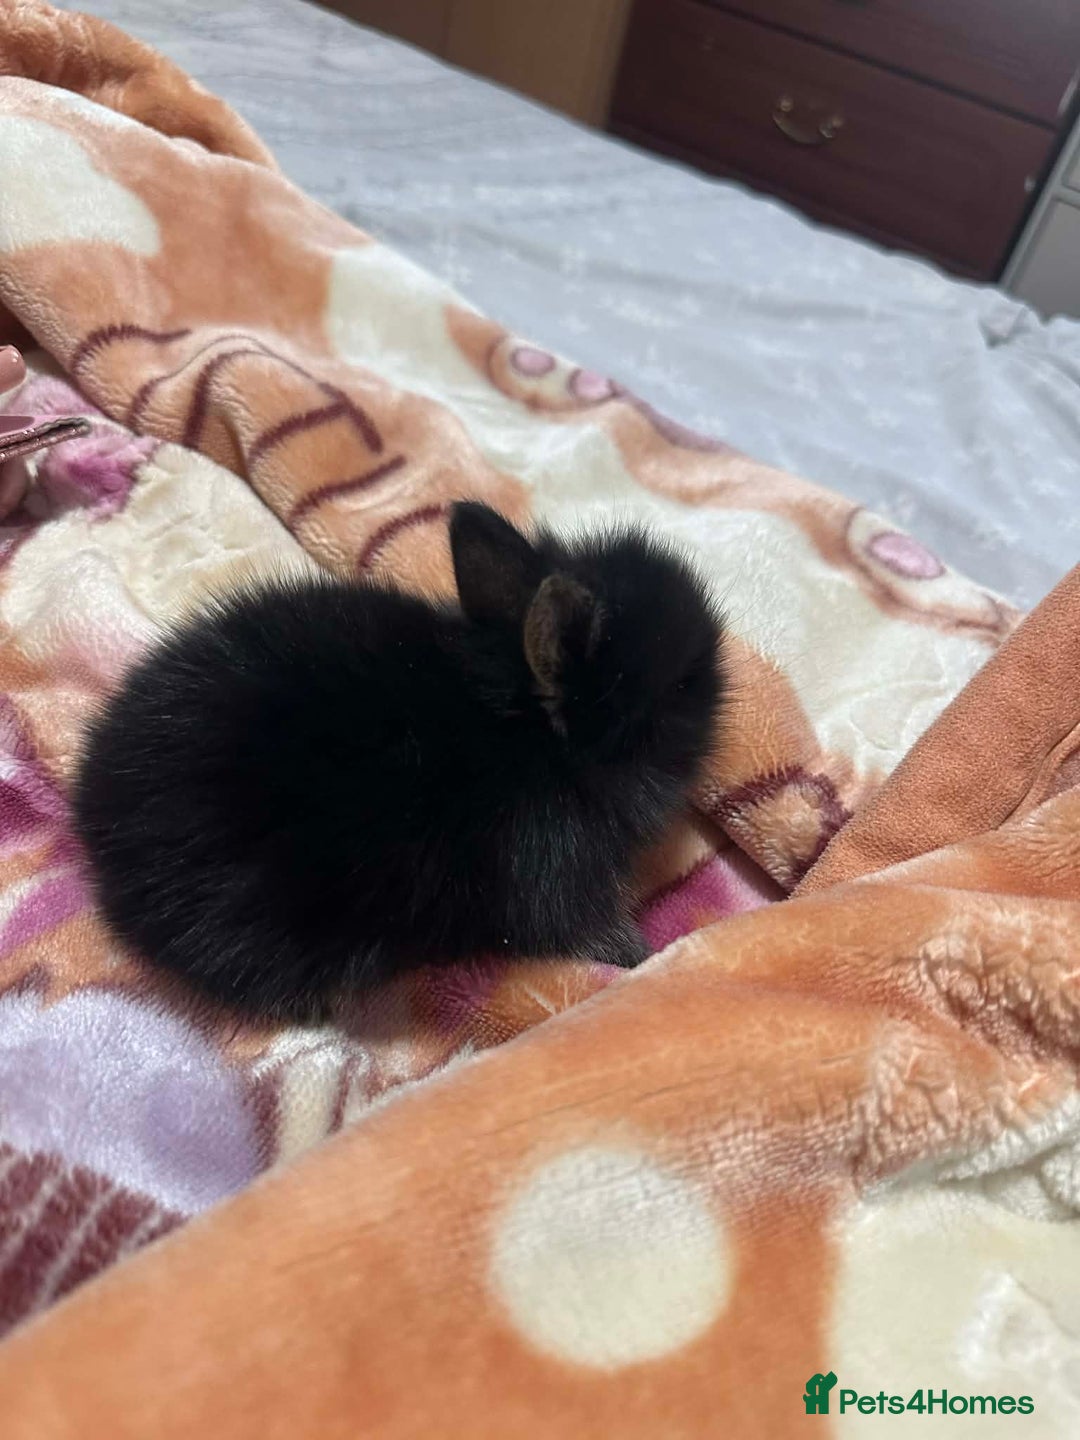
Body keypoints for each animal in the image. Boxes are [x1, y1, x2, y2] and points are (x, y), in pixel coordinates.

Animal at [72, 501, 725, 1020]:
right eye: (683, 683)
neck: (530, 733)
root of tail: (96, 824)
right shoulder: (560, 875)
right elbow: (598, 934)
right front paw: (648, 959)